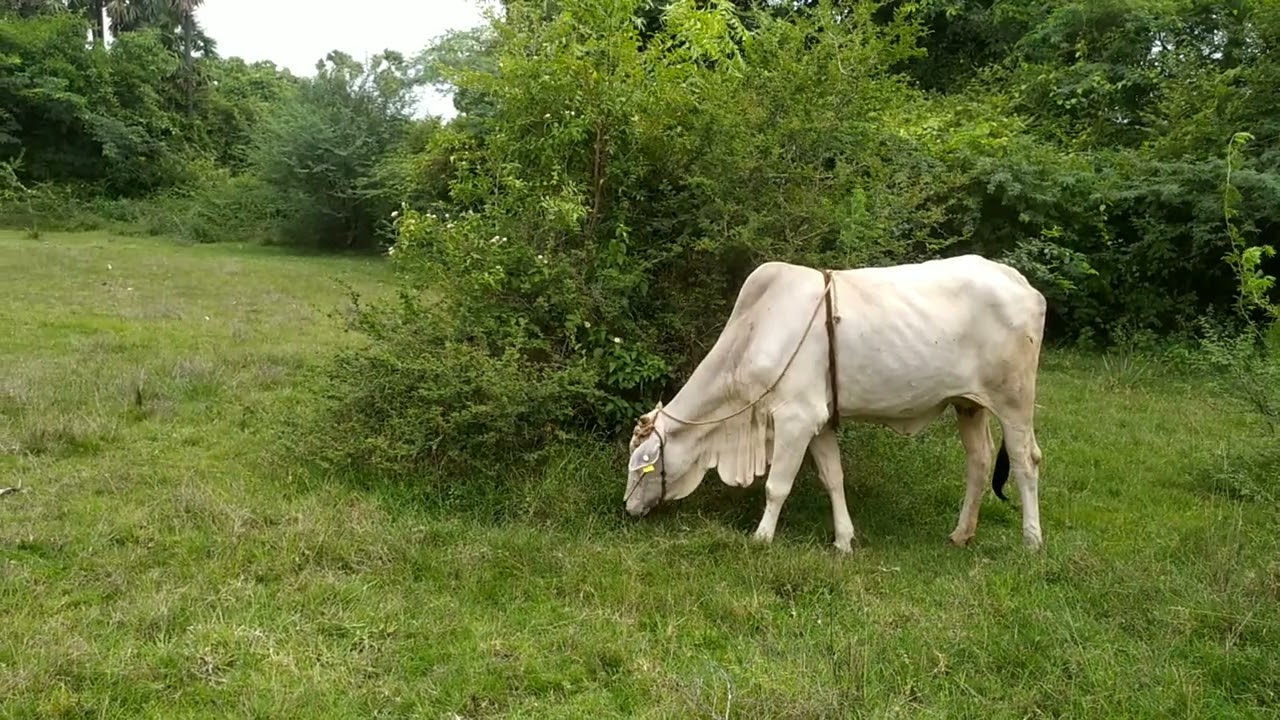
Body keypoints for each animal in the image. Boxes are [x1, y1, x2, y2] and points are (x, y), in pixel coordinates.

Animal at [623, 255, 1046, 552]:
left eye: (643, 461)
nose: (627, 507)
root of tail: (1023, 285)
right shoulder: (819, 422)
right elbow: (833, 478)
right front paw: (844, 540)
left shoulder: (795, 419)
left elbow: (777, 485)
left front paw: (761, 538)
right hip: (969, 404)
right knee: (979, 460)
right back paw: (961, 534)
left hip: (1014, 401)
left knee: (1025, 462)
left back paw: (1032, 541)